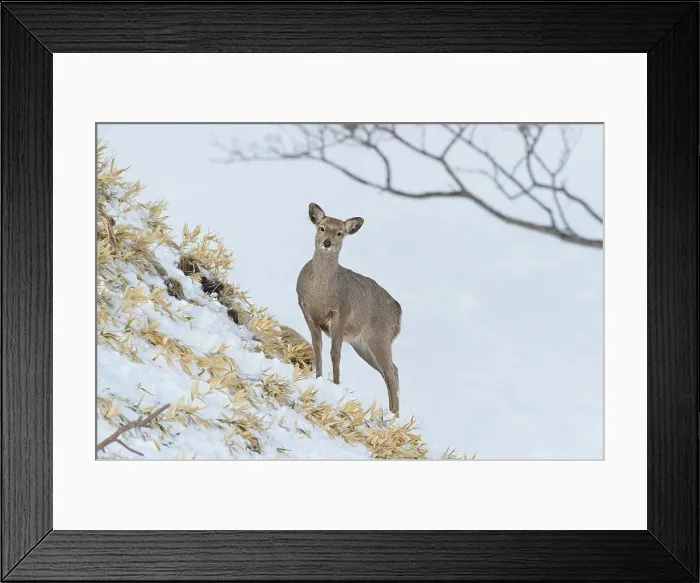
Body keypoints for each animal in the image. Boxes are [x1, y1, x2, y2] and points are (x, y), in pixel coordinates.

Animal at [296, 202, 402, 415]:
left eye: (340, 233)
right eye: (321, 227)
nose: (327, 242)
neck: (320, 294)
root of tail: (398, 312)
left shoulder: (341, 313)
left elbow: (335, 353)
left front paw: (335, 384)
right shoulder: (306, 310)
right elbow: (317, 347)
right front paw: (319, 378)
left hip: (379, 337)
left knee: (391, 371)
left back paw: (394, 415)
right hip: (362, 345)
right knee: (391, 370)